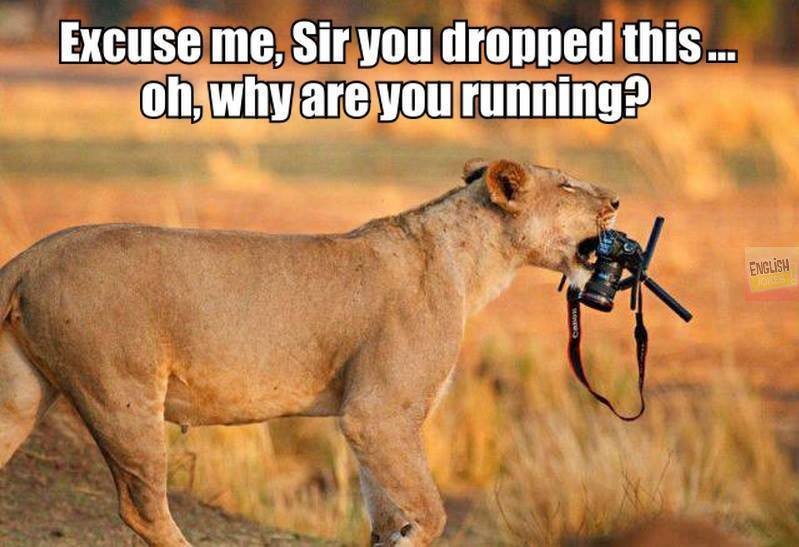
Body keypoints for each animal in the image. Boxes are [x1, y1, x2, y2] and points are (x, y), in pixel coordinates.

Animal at [0, 159, 618, 546]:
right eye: (566, 185)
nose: (615, 199)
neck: (472, 264)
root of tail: (27, 257)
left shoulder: (373, 422)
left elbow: (388, 513)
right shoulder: (378, 412)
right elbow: (429, 512)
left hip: (22, 396)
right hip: (121, 395)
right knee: (143, 508)